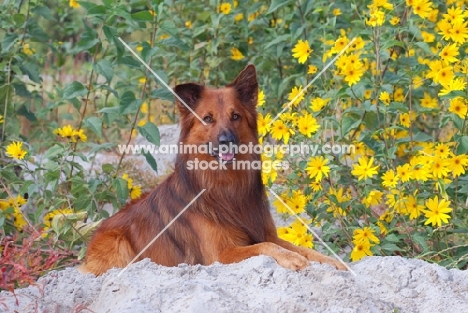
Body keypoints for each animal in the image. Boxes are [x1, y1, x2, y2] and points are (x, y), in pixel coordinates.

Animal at [80, 65, 346, 272]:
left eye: (235, 116)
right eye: (208, 119)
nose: (226, 140)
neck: (226, 184)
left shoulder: (266, 232)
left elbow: (301, 248)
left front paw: (333, 261)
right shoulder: (222, 253)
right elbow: (265, 247)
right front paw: (292, 259)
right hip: (118, 245)